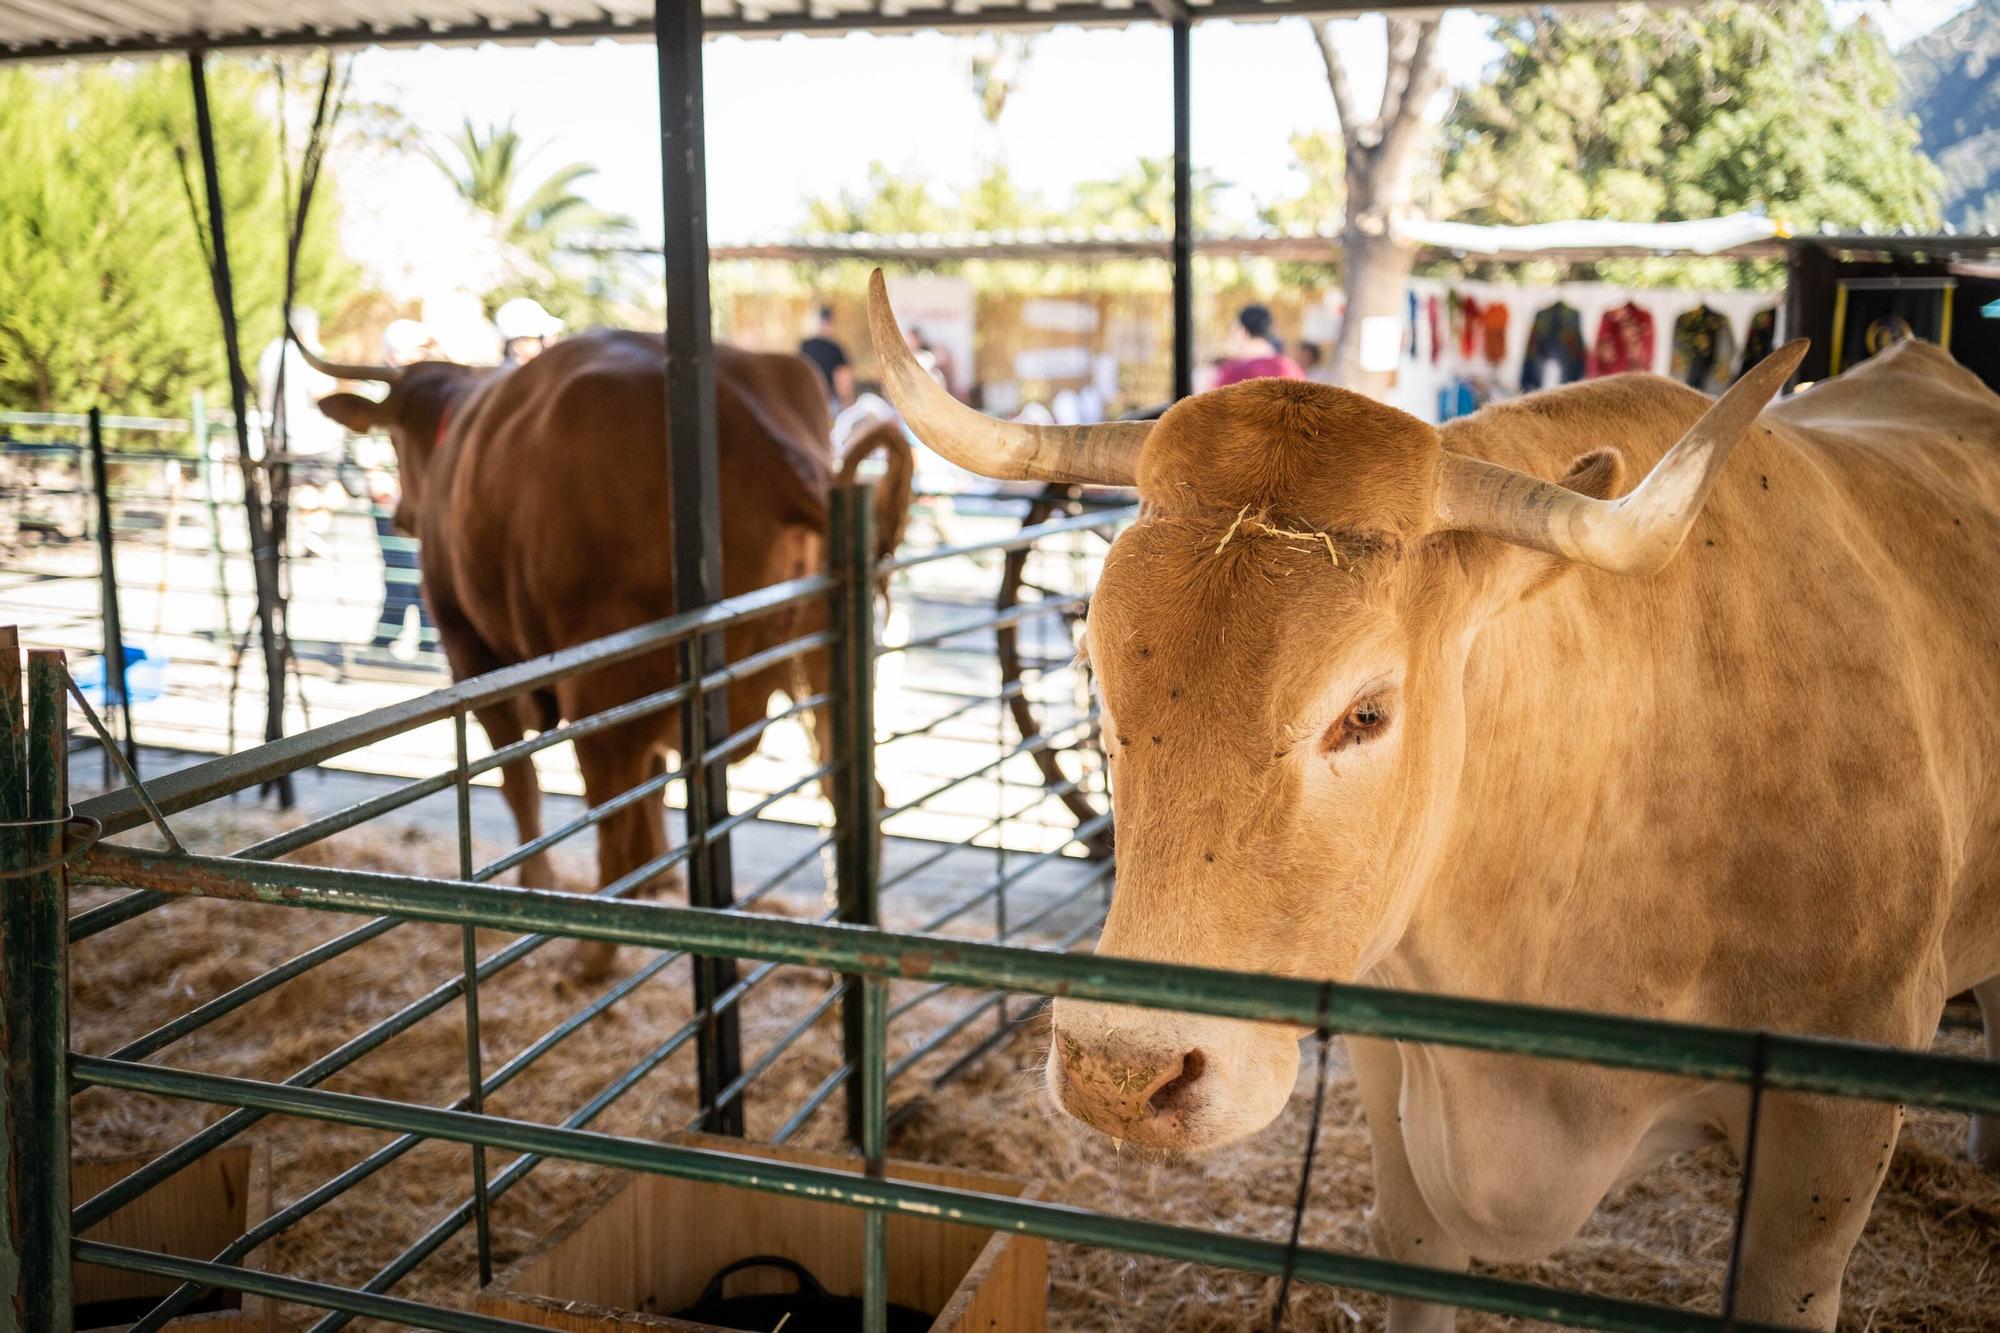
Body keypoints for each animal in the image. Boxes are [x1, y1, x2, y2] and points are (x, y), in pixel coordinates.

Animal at [306, 330, 916, 972]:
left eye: (396, 438)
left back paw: (589, 956)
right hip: (816, 670)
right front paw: (661, 877)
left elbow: (519, 780)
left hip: (599, 690)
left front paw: (536, 882)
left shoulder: (469, 650)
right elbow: (657, 778)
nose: (400, 513)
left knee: (611, 812)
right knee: (852, 794)